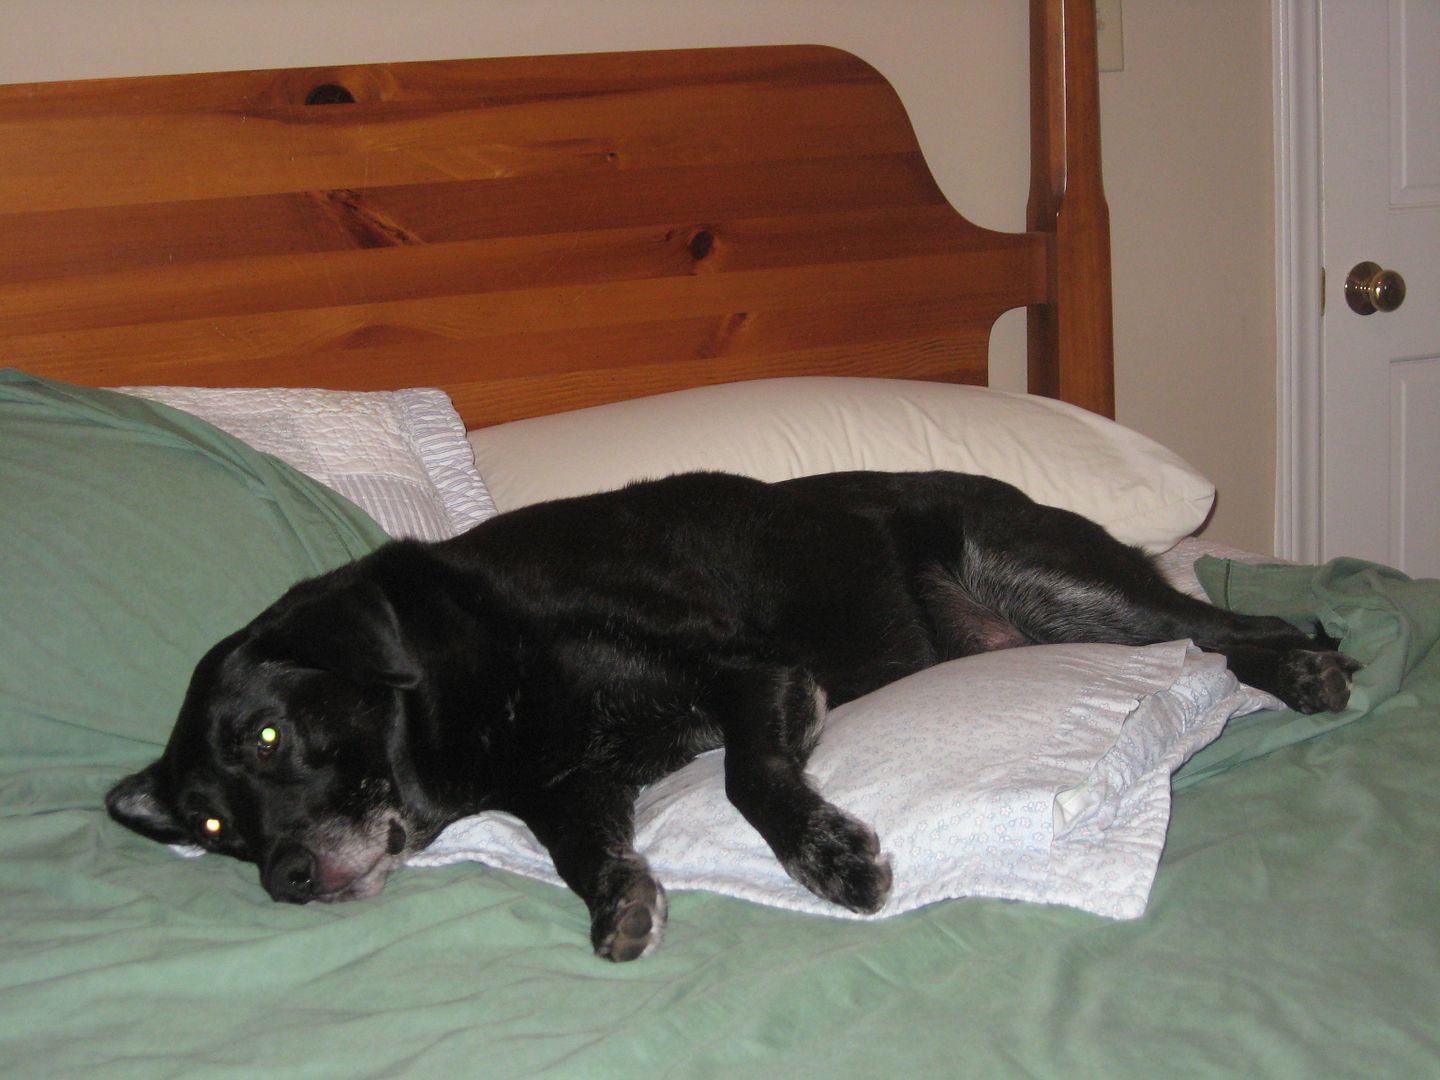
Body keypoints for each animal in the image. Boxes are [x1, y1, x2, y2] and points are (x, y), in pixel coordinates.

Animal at [106, 469, 1353, 961]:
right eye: (215, 828)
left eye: (269, 736)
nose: (285, 877)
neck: (453, 683)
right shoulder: (573, 787)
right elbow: (585, 857)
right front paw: (621, 902)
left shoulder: (752, 677)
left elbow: (754, 781)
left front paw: (831, 855)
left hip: (1052, 579)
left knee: (1218, 626)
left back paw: (1307, 666)